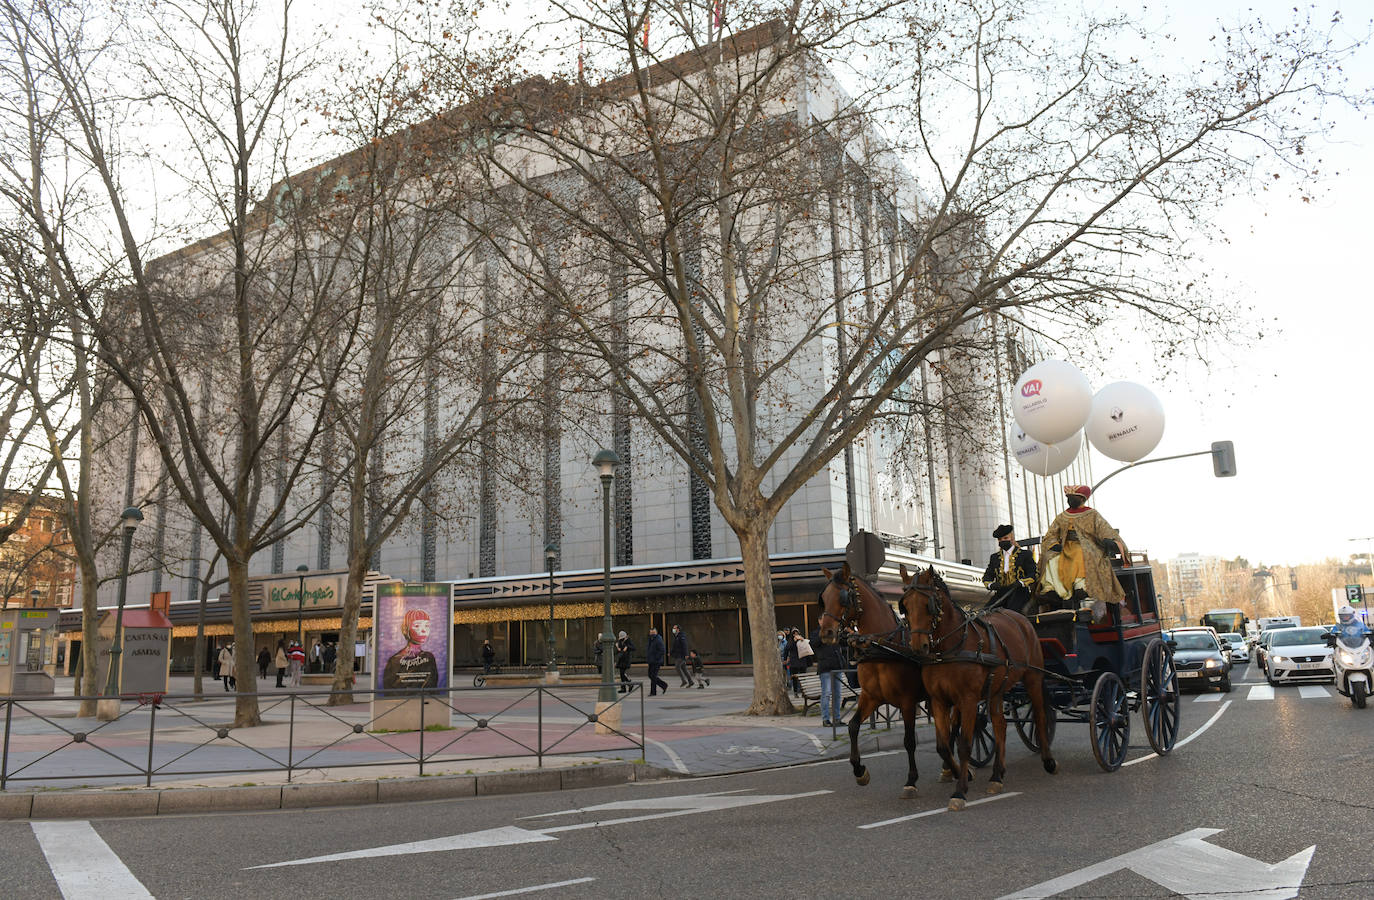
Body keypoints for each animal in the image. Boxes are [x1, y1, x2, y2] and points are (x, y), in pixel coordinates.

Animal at [818, 566, 928, 796]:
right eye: (823, 598)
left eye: (844, 597)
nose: (826, 633)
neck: (882, 647)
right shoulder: (870, 697)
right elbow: (853, 726)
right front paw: (860, 771)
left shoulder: (907, 702)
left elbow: (909, 740)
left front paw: (911, 780)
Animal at [895, 563, 1055, 807]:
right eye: (905, 606)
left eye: (927, 604)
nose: (918, 646)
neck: (951, 647)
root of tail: (1021, 619)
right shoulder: (939, 700)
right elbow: (943, 745)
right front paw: (960, 773)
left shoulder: (968, 700)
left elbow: (964, 744)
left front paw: (960, 790)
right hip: (997, 689)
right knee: (1000, 726)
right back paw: (997, 775)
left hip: (1033, 678)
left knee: (1039, 715)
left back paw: (1048, 760)